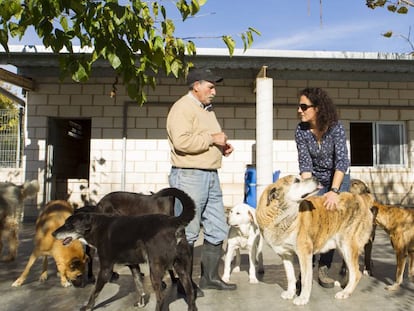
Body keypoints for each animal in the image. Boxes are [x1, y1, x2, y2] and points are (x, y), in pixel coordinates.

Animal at [53, 188, 197, 311]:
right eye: (65, 223)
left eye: (69, 225)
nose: (53, 234)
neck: (97, 226)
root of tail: (173, 222)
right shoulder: (134, 266)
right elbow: (139, 286)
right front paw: (140, 303)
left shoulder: (105, 269)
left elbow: (94, 292)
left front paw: (88, 307)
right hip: (182, 268)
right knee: (190, 294)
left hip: (155, 269)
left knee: (161, 298)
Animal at [258, 177, 374, 306]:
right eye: (297, 181)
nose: (315, 178)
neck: (281, 215)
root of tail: (361, 198)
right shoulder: (285, 254)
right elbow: (290, 276)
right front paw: (290, 293)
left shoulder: (304, 253)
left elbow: (305, 279)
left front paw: (302, 298)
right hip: (342, 248)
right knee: (350, 270)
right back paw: (343, 285)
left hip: (347, 246)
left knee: (356, 273)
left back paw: (345, 292)